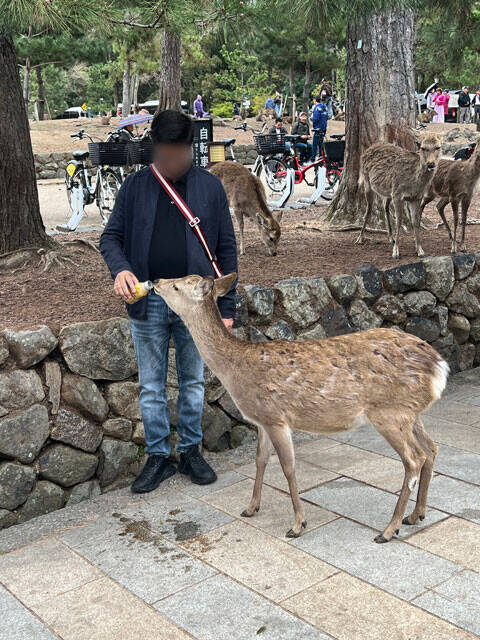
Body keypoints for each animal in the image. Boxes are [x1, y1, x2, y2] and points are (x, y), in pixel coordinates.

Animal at [152, 272, 449, 544]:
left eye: (177, 285)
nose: (155, 281)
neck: (236, 372)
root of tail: (440, 366)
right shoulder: (261, 420)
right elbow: (260, 460)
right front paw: (251, 507)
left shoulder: (276, 417)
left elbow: (288, 468)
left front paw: (297, 525)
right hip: (410, 412)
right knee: (431, 448)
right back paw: (416, 515)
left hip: (389, 412)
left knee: (414, 458)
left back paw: (388, 529)